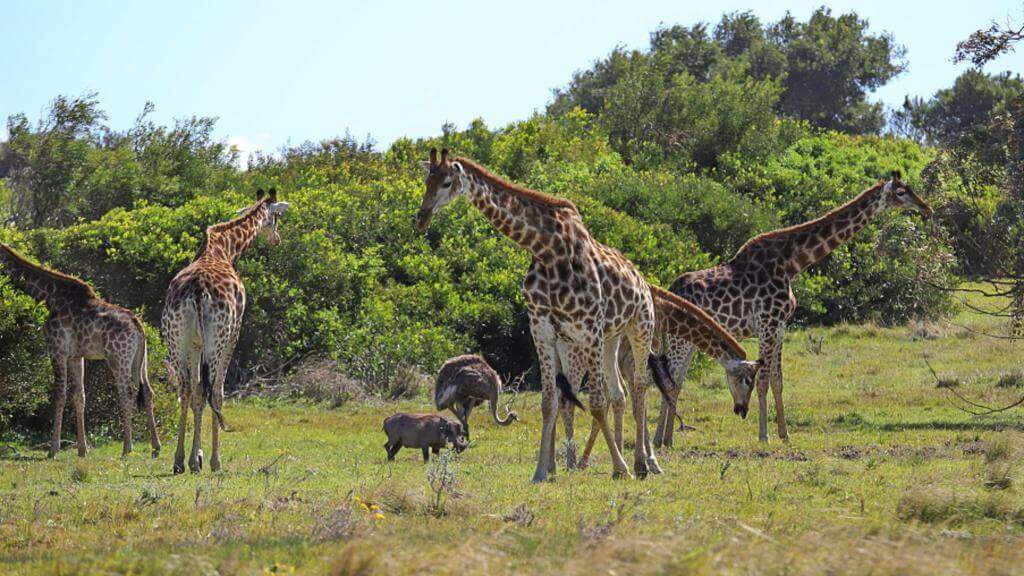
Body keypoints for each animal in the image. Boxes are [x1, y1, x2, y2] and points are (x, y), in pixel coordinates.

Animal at [0, 241, 158, 457]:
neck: (47, 296)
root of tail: (137, 325)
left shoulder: (57, 349)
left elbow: (59, 395)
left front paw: (53, 449)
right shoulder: (76, 356)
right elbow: (79, 396)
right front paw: (82, 449)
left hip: (118, 358)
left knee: (126, 392)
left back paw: (127, 447)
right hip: (140, 360)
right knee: (148, 390)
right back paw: (155, 446)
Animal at [160, 187, 288, 471]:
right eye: (276, 218)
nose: (277, 239)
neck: (223, 250)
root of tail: (197, 291)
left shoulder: (195, 344)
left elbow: (194, 393)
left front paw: (195, 456)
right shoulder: (234, 335)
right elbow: (217, 393)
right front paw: (209, 459)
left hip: (176, 340)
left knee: (186, 389)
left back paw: (178, 461)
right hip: (217, 340)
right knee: (210, 392)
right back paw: (207, 460)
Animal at [411, 147, 757, 479]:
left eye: (447, 182)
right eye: (426, 181)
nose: (422, 217)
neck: (545, 249)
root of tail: (642, 279)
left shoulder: (588, 326)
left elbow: (596, 403)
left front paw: (620, 468)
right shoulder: (542, 328)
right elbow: (550, 402)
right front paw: (542, 471)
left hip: (638, 328)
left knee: (639, 388)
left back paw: (643, 463)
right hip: (610, 338)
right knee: (619, 393)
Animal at [651, 171, 933, 444]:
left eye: (911, 189)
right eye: (901, 192)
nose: (926, 208)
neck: (792, 264)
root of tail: (669, 291)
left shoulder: (780, 327)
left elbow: (778, 381)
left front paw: (785, 435)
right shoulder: (767, 324)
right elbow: (763, 380)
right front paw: (763, 436)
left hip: (687, 338)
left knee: (675, 380)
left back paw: (664, 438)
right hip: (680, 338)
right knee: (671, 380)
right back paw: (661, 439)